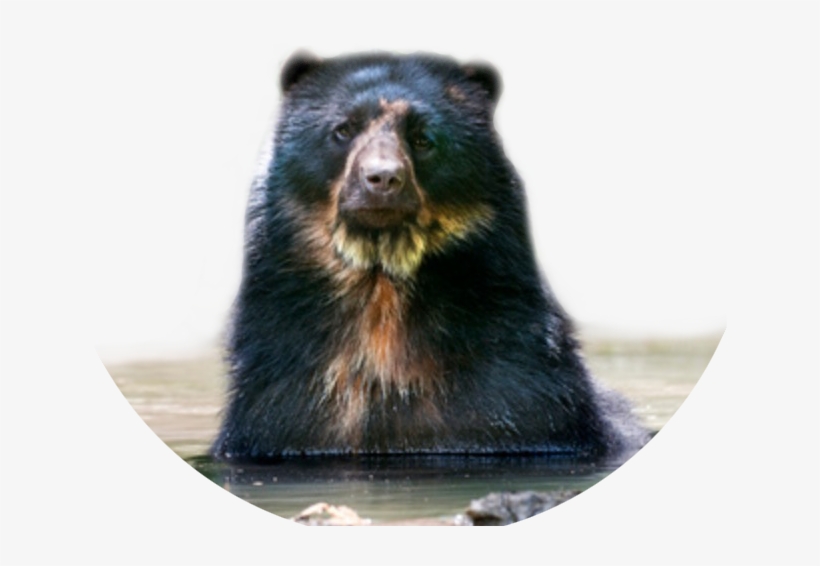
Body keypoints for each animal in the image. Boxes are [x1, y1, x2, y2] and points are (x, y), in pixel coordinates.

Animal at [211, 51, 650, 462]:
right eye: (343, 129)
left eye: (423, 139)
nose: (382, 178)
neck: (381, 292)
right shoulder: (283, 392)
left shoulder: (518, 383)